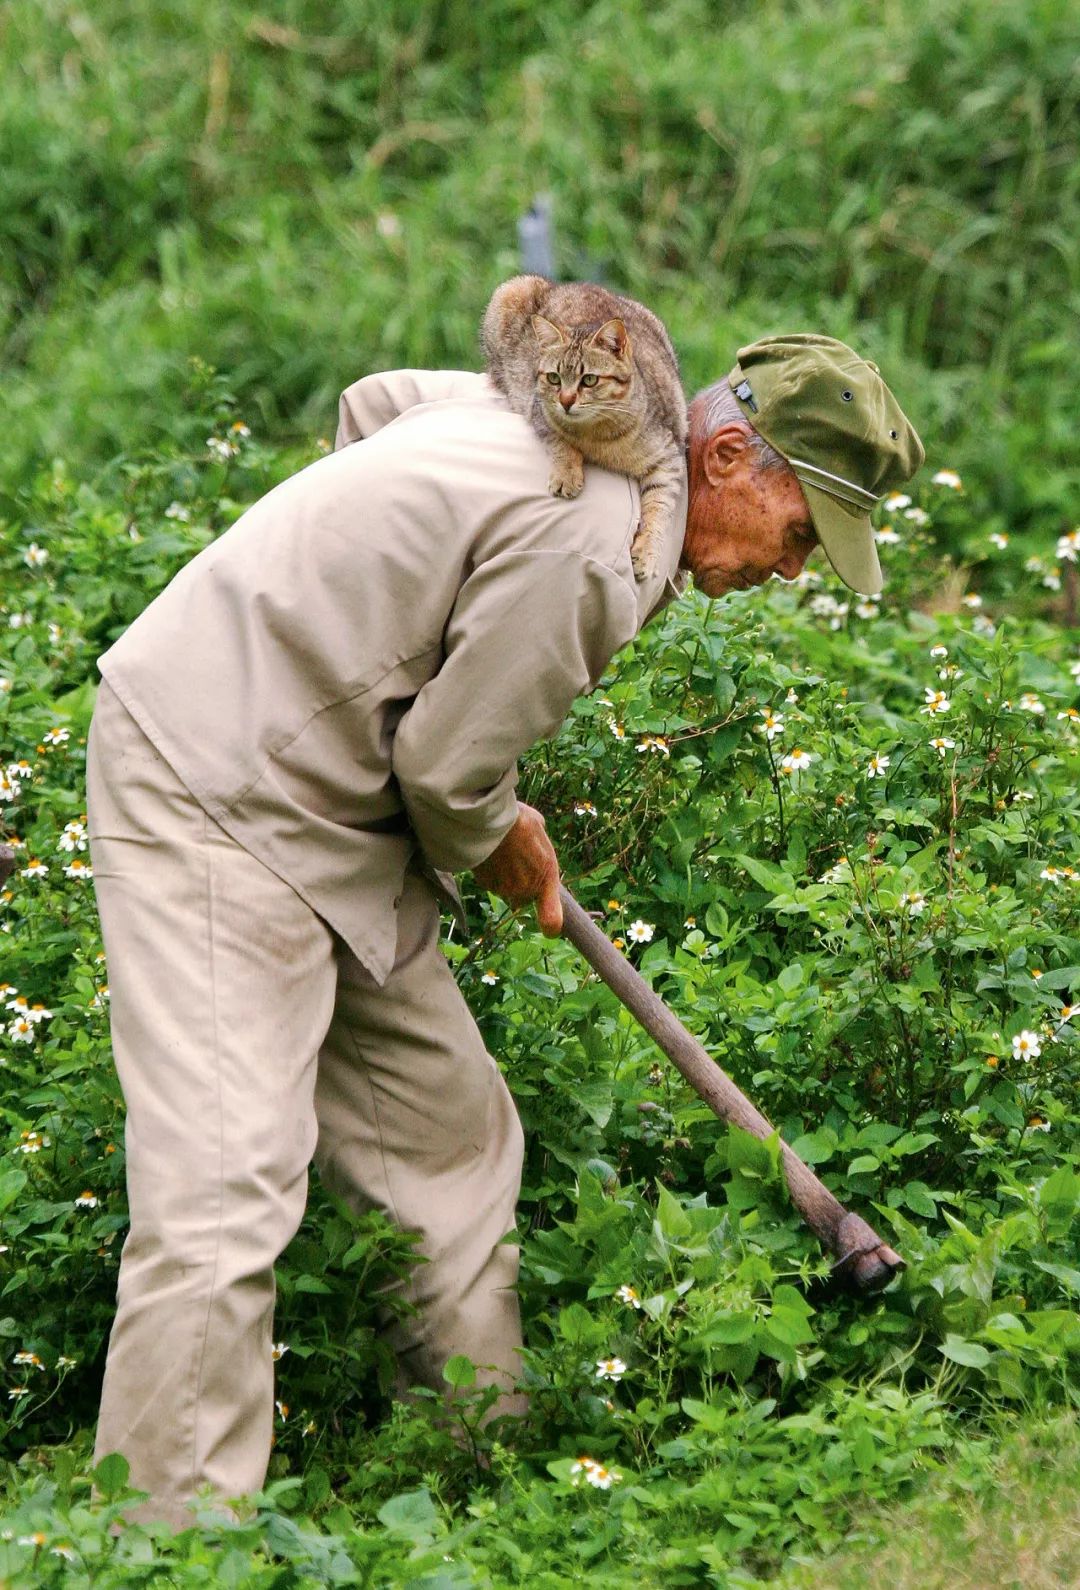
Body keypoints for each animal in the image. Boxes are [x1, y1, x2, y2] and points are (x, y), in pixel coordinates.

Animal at [483, 276, 687, 581]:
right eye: (554, 378)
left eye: (589, 380)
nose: (566, 400)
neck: (601, 437)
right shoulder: (538, 409)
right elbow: (560, 442)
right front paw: (567, 474)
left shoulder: (669, 459)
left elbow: (660, 508)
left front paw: (648, 552)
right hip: (510, 293)